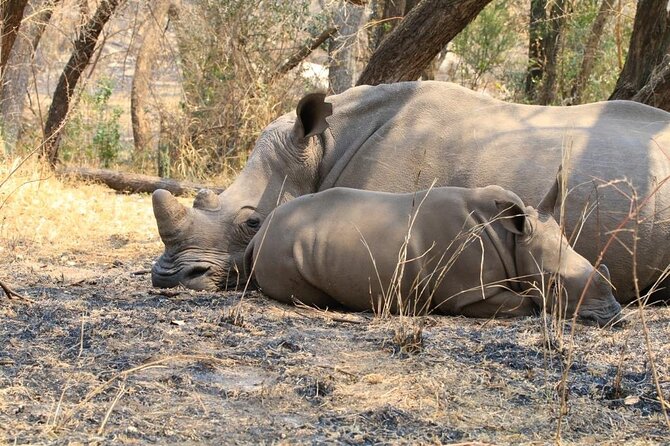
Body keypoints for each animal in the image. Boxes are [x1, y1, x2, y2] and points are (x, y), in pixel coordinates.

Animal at [244, 182, 622, 326]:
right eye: (554, 284)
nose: (616, 317)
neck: (513, 239)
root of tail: (258, 235)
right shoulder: (469, 293)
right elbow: (526, 303)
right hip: (281, 249)